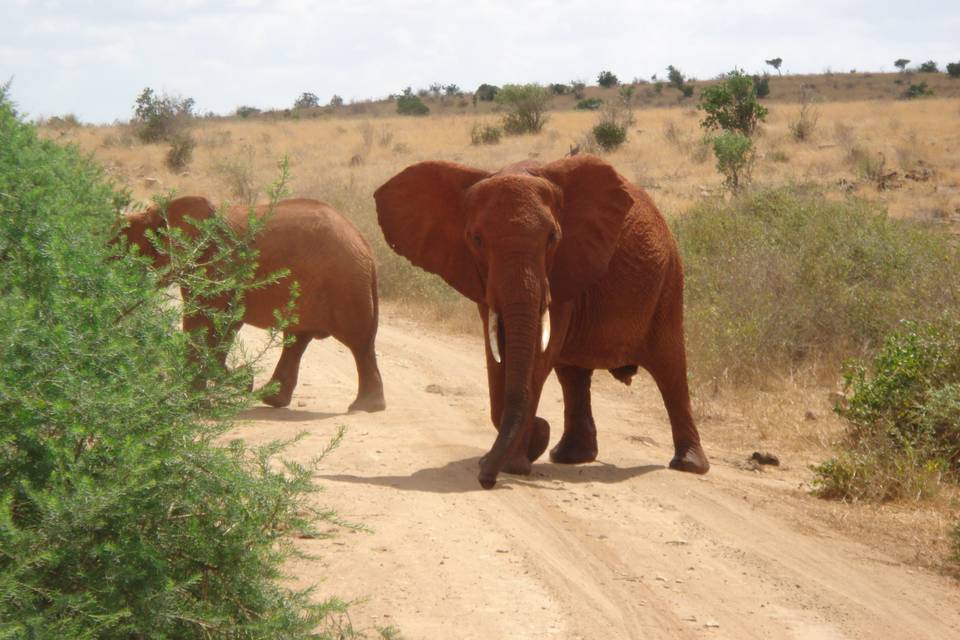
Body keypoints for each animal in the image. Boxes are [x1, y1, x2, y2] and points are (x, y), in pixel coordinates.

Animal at [121, 195, 386, 412]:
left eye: (129, 238)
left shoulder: (215, 264)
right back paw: (270, 398)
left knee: (358, 343)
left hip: (344, 285)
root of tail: (367, 250)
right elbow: (224, 324)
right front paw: (240, 381)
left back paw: (364, 407)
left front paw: (202, 399)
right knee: (297, 341)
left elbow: (203, 321)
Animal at [376, 152, 704, 488]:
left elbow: (536, 356)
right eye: (476, 239)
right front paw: (524, 446)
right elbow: (497, 356)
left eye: (553, 238)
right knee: (573, 375)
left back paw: (689, 465)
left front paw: (516, 462)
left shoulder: (563, 267)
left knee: (670, 367)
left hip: (669, 280)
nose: (485, 480)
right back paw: (570, 456)